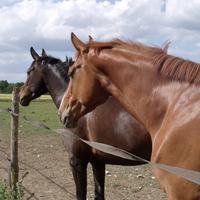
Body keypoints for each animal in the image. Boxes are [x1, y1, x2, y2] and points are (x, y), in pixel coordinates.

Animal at [19, 47, 152, 200]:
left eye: (29, 71)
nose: (21, 97)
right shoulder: (98, 162)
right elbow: (99, 194)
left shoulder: (77, 161)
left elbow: (80, 194)